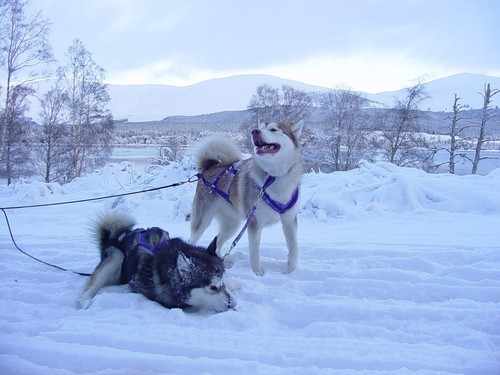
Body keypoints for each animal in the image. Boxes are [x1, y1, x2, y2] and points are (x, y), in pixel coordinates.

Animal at [76, 213, 236, 312]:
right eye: (213, 287)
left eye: (222, 283)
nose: (233, 304)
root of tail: (112, 240)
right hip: (117, 257)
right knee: (92, 284)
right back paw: (84, 302)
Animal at [189, 121, 302, 276]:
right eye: (260, 127)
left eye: (273, 129)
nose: (254, 131)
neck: (273, 177)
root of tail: (210, 167)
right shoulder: (254, 222)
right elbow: (254, 251)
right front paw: (258, 273)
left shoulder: (290, 220)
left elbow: (294, 247)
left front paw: (291, 270)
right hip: (203, 220)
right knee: (193, 239)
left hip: (232, 224)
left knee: (218, 243)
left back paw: (223, 262)